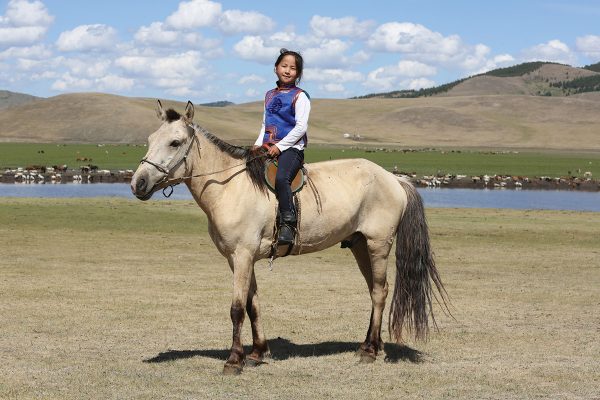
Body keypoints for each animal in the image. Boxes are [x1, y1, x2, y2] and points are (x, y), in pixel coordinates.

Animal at [132, 100, 450, 376]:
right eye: (150, 138)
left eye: (174, 143)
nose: (138, 183)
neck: (231, 187)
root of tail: (394, 178)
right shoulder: (240, 259)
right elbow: (253, 305)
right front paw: (257, 352)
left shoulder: (242, 256)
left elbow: (237, 309)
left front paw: (234, 360)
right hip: (359, 245)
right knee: (375, 290)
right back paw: (370, 345)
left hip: (377, 245)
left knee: (380, 292)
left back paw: (370, 351)